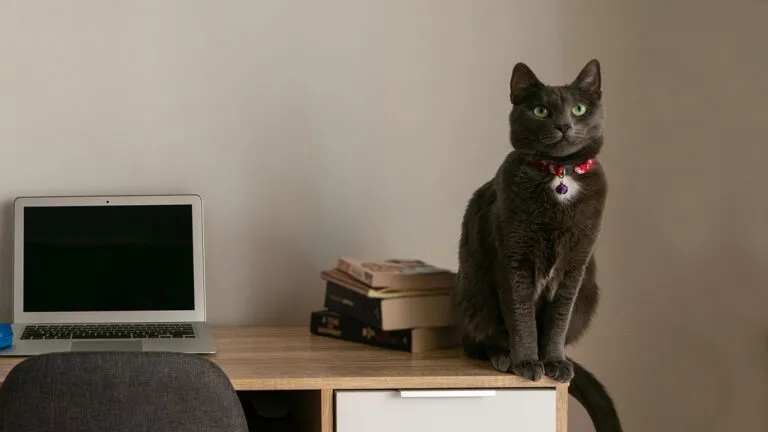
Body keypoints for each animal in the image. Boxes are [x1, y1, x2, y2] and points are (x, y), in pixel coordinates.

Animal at [456, 59, 624, 430]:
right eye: (540, 110)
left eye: (578, 109)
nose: (563, 125)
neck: (559, 175)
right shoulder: (513, 259)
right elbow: (521, 317)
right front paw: (527, 362)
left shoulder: (575, 265)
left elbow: (558, 320)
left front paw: (554, 362)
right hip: (474, 293)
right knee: (480, 340)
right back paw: (502, 356)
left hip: (589, 293)